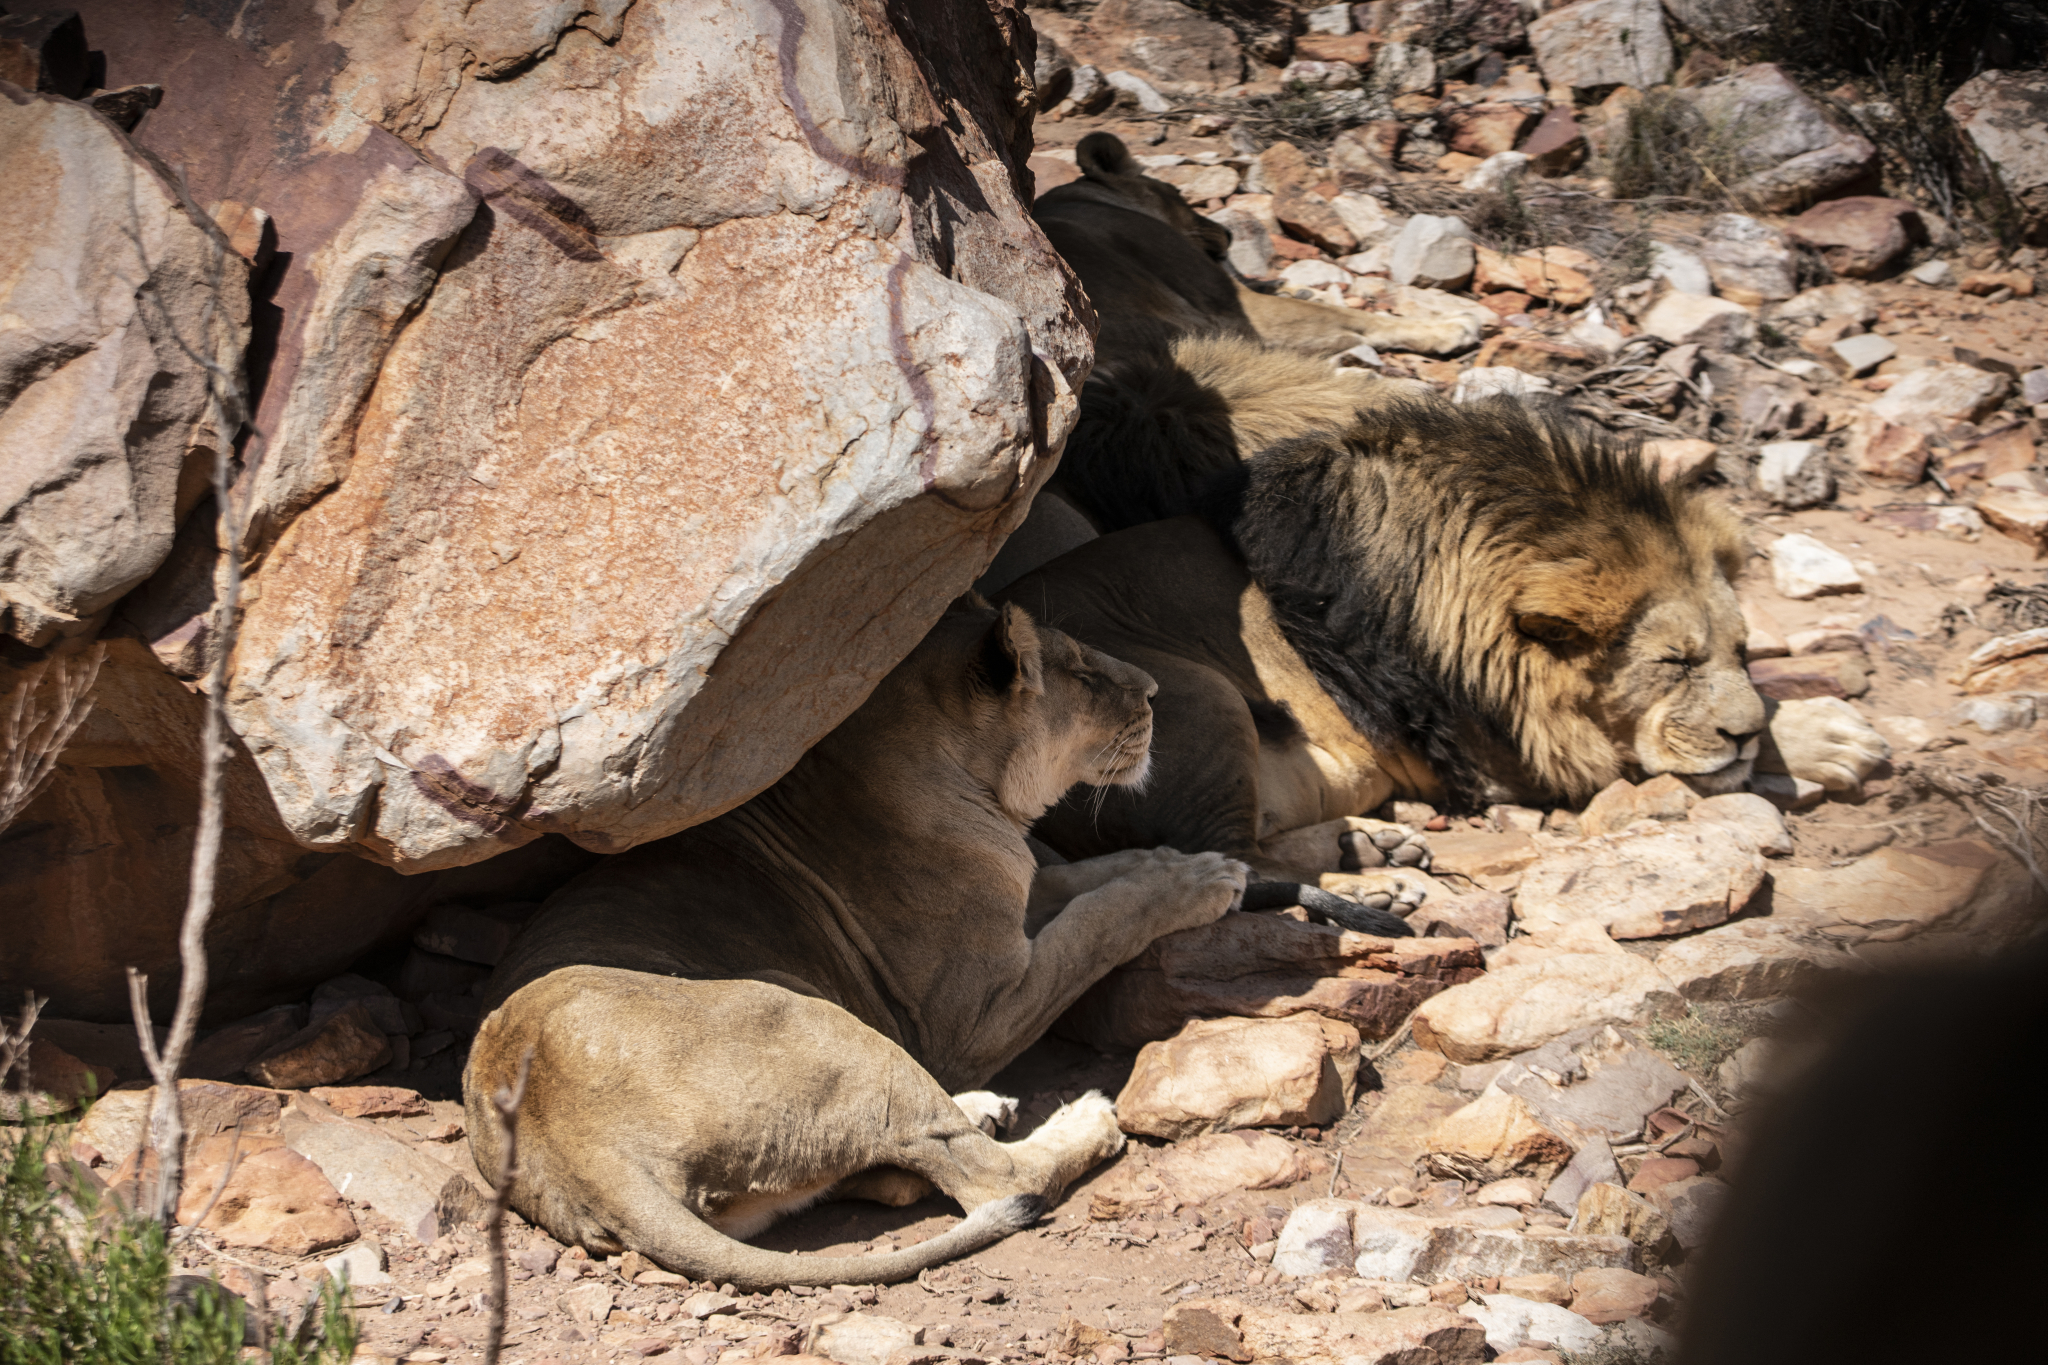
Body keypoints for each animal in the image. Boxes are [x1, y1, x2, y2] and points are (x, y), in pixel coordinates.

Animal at [466, 597, 1245, 1293]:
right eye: (1083, 671)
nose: (1155, 690)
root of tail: (580, 1152)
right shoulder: (975, 1013)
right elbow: (1099, 920)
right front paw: (1203, 879)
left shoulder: (1020, 898)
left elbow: (1088, 877)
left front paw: (1172, 860)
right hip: (823, 1024)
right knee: (992, 1178)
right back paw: (1082, 1118)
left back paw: (981, 1108)